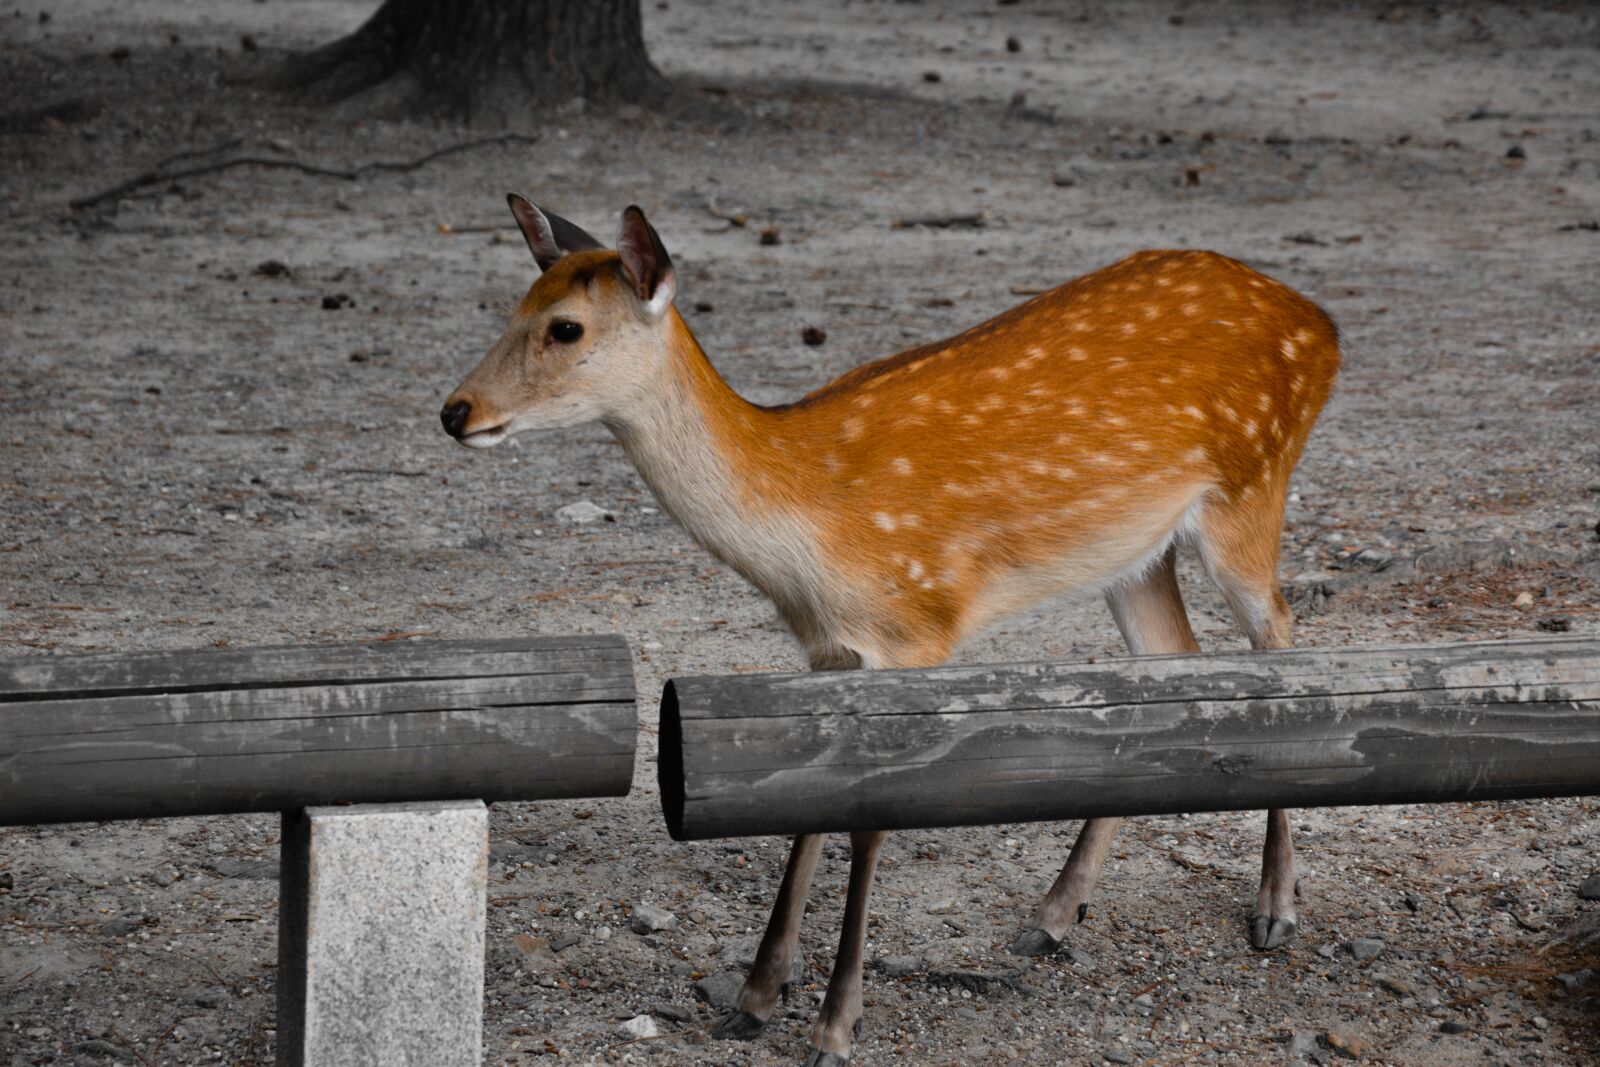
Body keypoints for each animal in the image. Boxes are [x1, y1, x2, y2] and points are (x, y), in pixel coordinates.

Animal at [441, 196, 1340, 1067]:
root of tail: (1320, 322)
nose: (455, 411)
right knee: (1171, 656)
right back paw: (1052, 914)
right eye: (515, 304)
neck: (813, 535)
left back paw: (1274, 908)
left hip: (1251, 486)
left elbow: (873, 817)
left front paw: (835, 1027)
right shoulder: (829, 647)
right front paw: (755, 998)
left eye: (566, 327)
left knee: (1283, 638)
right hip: (1133, 551)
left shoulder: (918, 625)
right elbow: (813, 796)